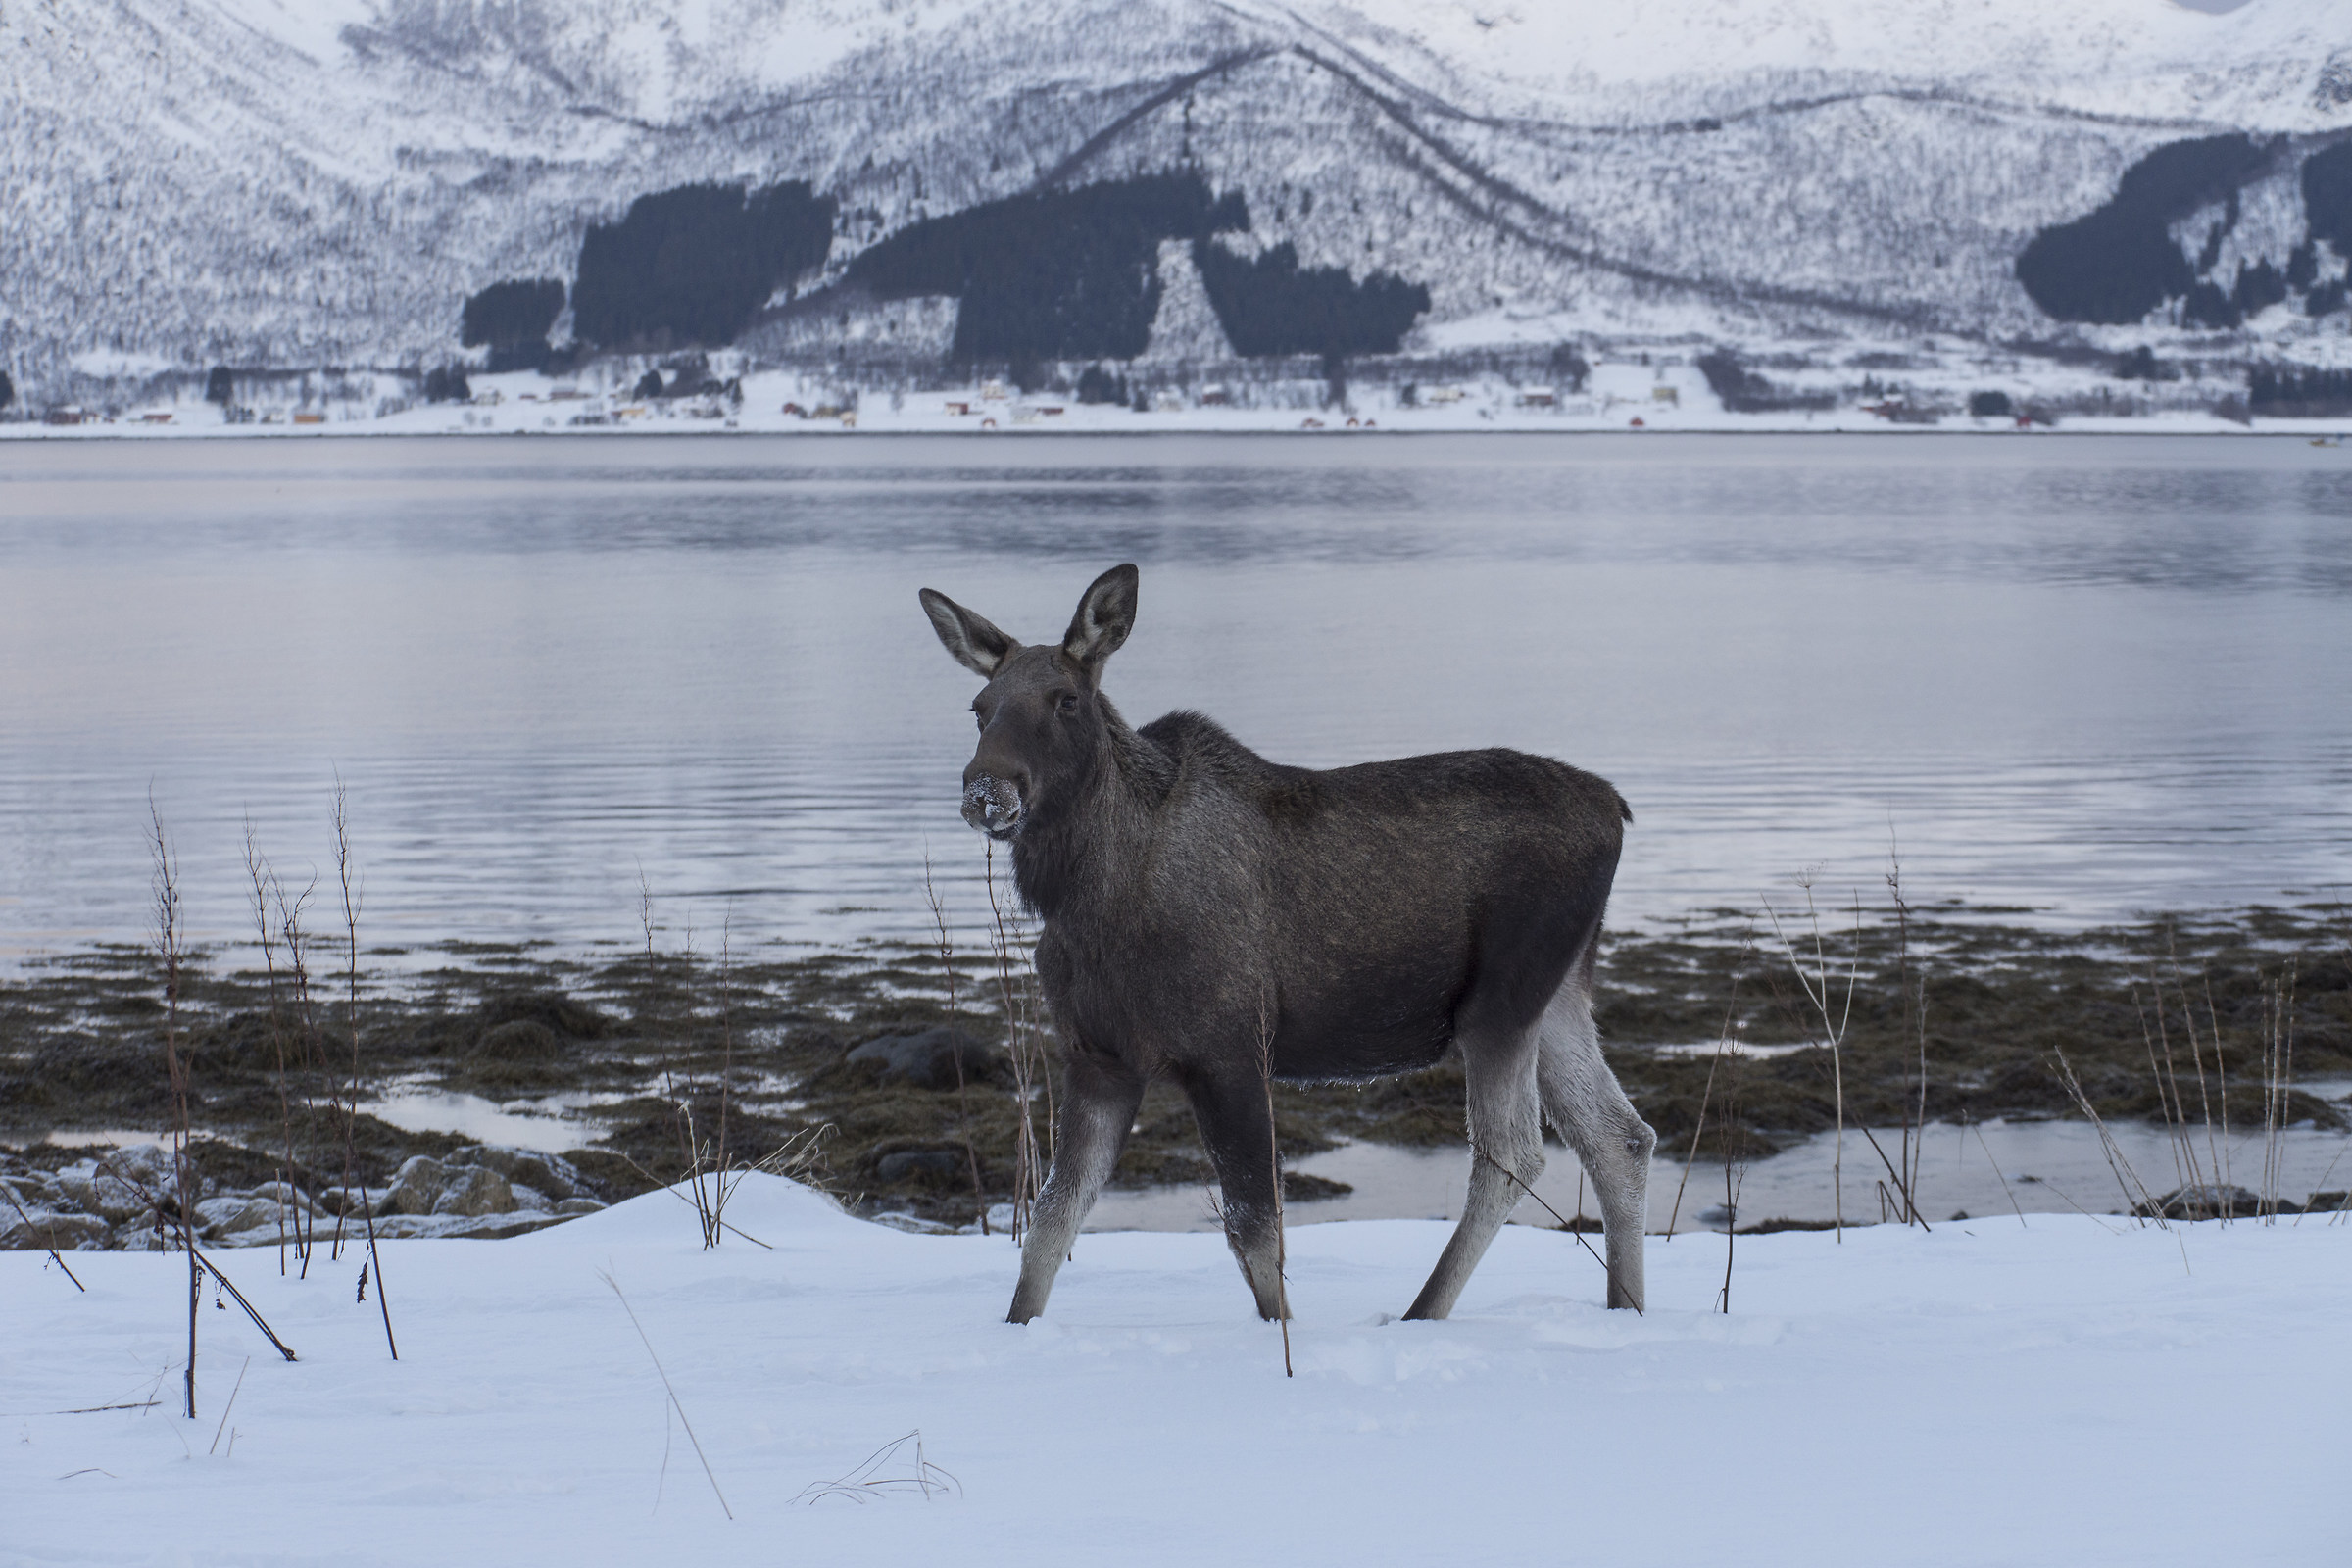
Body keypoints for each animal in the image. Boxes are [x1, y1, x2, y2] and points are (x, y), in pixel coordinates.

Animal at [919, 563, 1654, 1325]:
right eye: (980, 706)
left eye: (1066, 700)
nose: (986, 790)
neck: (1085, 897)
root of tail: (1617, 809)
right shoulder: (1098, 1058)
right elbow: (1049, 1225)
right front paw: (1018, 1326)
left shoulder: (1230, 1050)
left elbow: (1254, 1234)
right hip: (1558, 994)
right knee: (1620, 1137)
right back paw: (1626, 1307)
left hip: (1499, 1001)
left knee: (1513, 1154)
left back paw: (1424, 1312)